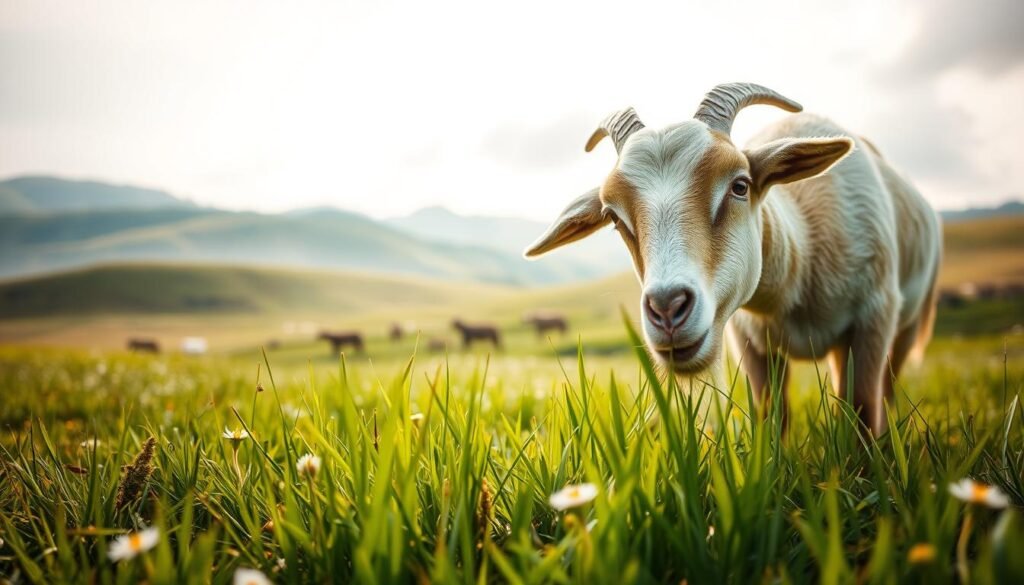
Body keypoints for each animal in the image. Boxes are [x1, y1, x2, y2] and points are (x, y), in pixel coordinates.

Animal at [525, 83, 941, 436]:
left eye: (740, 185)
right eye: (613, 217)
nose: (667, 308)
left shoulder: (874, 319)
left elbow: (863, 411)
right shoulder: (750, 341)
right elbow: (772, 414)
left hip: (906, 326)